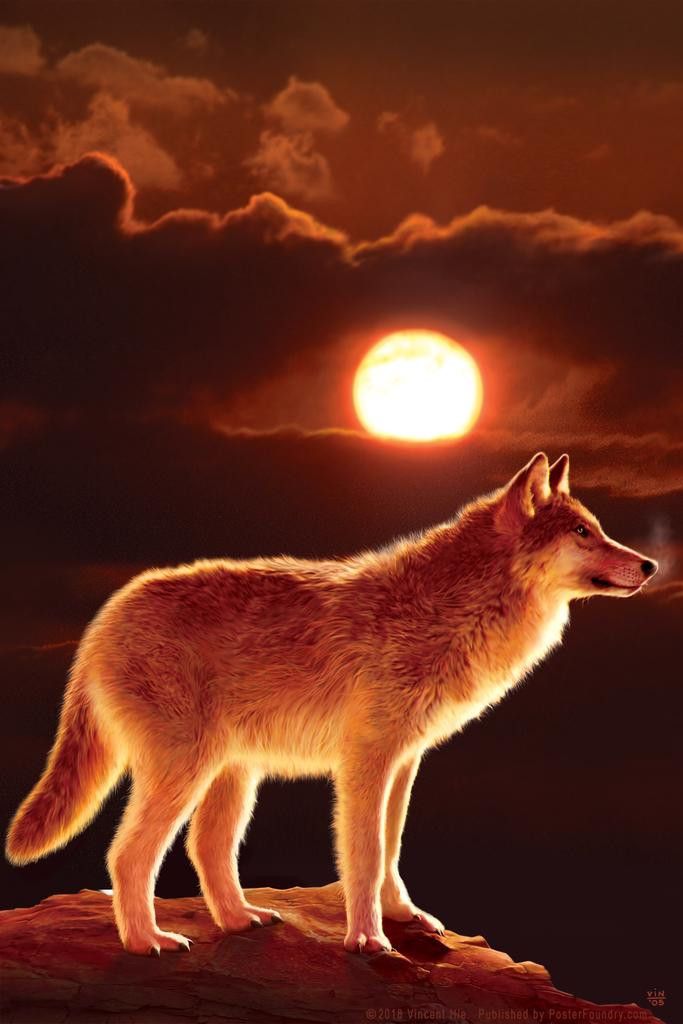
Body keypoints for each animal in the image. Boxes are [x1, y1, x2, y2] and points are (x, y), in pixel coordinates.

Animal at [6, 453, 658, 955]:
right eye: (582, 533)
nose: (651, 565)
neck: (450, 607)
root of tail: (103, 620)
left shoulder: (405, 762)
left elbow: (391, 850)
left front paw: (402, 917)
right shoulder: (366, 761)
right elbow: (364, 856)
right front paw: (367, 940)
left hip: (232, 775)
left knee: (206, 848)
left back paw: (240, 920)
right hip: (185, 771)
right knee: (127, 856)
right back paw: (148, 943)